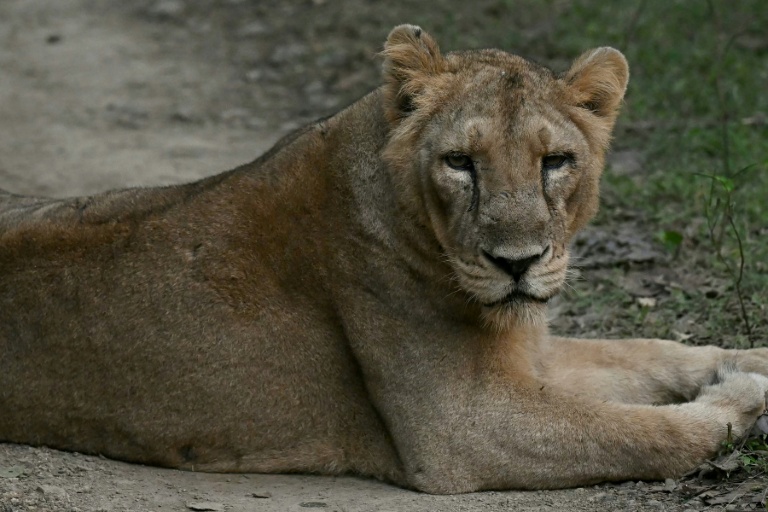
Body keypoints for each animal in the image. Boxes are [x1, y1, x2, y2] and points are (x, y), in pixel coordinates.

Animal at [1, 25, 767, 494]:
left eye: (555, 162)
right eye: (460, 162)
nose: (517, 263)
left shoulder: (528, 353)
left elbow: (649, 351)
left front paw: (748, 360)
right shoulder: (462, 423)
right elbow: (644, 432)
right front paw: (742, 400)